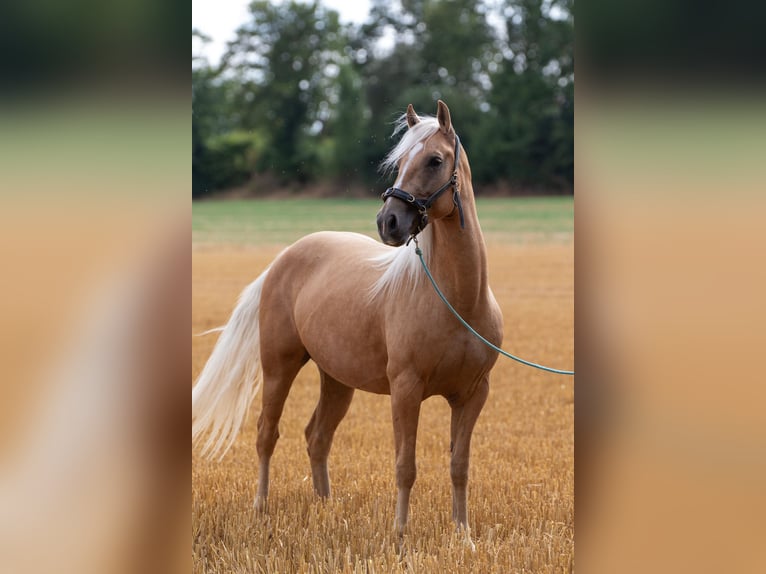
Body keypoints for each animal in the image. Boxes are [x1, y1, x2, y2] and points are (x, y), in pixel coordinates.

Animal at [192, 100, 503, 547]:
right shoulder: (405, 390)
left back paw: (326, 508)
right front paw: (400, 536)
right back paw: (260, 509)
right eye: (399, 162)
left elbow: (459, 466)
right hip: (279, 367)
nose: (388, 221)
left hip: (336, 379)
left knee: (317, 437)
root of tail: (283, 258)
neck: (458, 301)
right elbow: (405, 465)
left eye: (435, 160)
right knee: (267, 434)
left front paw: (464, 537)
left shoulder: (473, 394)